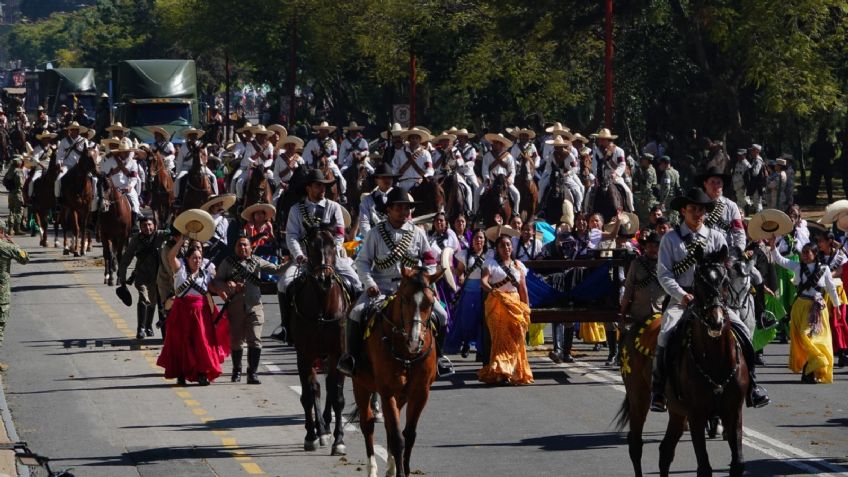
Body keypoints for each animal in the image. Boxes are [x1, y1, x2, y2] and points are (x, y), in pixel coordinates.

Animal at [288, 225, 348, 456]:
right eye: (311, 245)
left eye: (332, 243)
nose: (324, 278)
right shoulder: (304, 355)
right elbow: (308, 394)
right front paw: (311, 436)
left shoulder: (338, 354)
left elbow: (337, 397)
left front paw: (339, 440)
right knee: (316, 389)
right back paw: (319, 429)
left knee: (330, 388)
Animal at [354, 268, 440, 476]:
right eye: (405, 299)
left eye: (430, 302)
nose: (415, 341)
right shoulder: (387, 392)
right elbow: (397, 438)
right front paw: (399, 471)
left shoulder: (420, 393)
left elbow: (408, 435)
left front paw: (404, 469)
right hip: (360, 385)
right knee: (367, 424)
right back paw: (372, 469)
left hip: (401, 396)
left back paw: (390, 466)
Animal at [616, 245, 748, 476]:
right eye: (699, 281)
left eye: (724, 281)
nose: (716, 321)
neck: (716, 361)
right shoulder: (696, 415)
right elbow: (704, 467)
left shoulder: (734, 411)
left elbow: (738, 463)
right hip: (639, 398)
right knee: (635, 445)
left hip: (677, 412)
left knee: (665, 451)